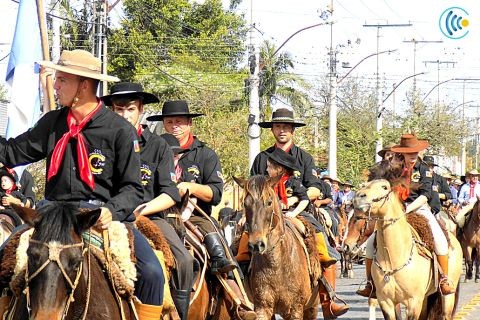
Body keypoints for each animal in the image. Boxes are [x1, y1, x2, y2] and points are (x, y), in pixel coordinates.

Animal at [352, 180, 462, 320]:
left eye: (384, 187)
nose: (358, 197)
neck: (393, 257)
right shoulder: (385, 301)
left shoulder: (413, 302)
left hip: (447, 297)